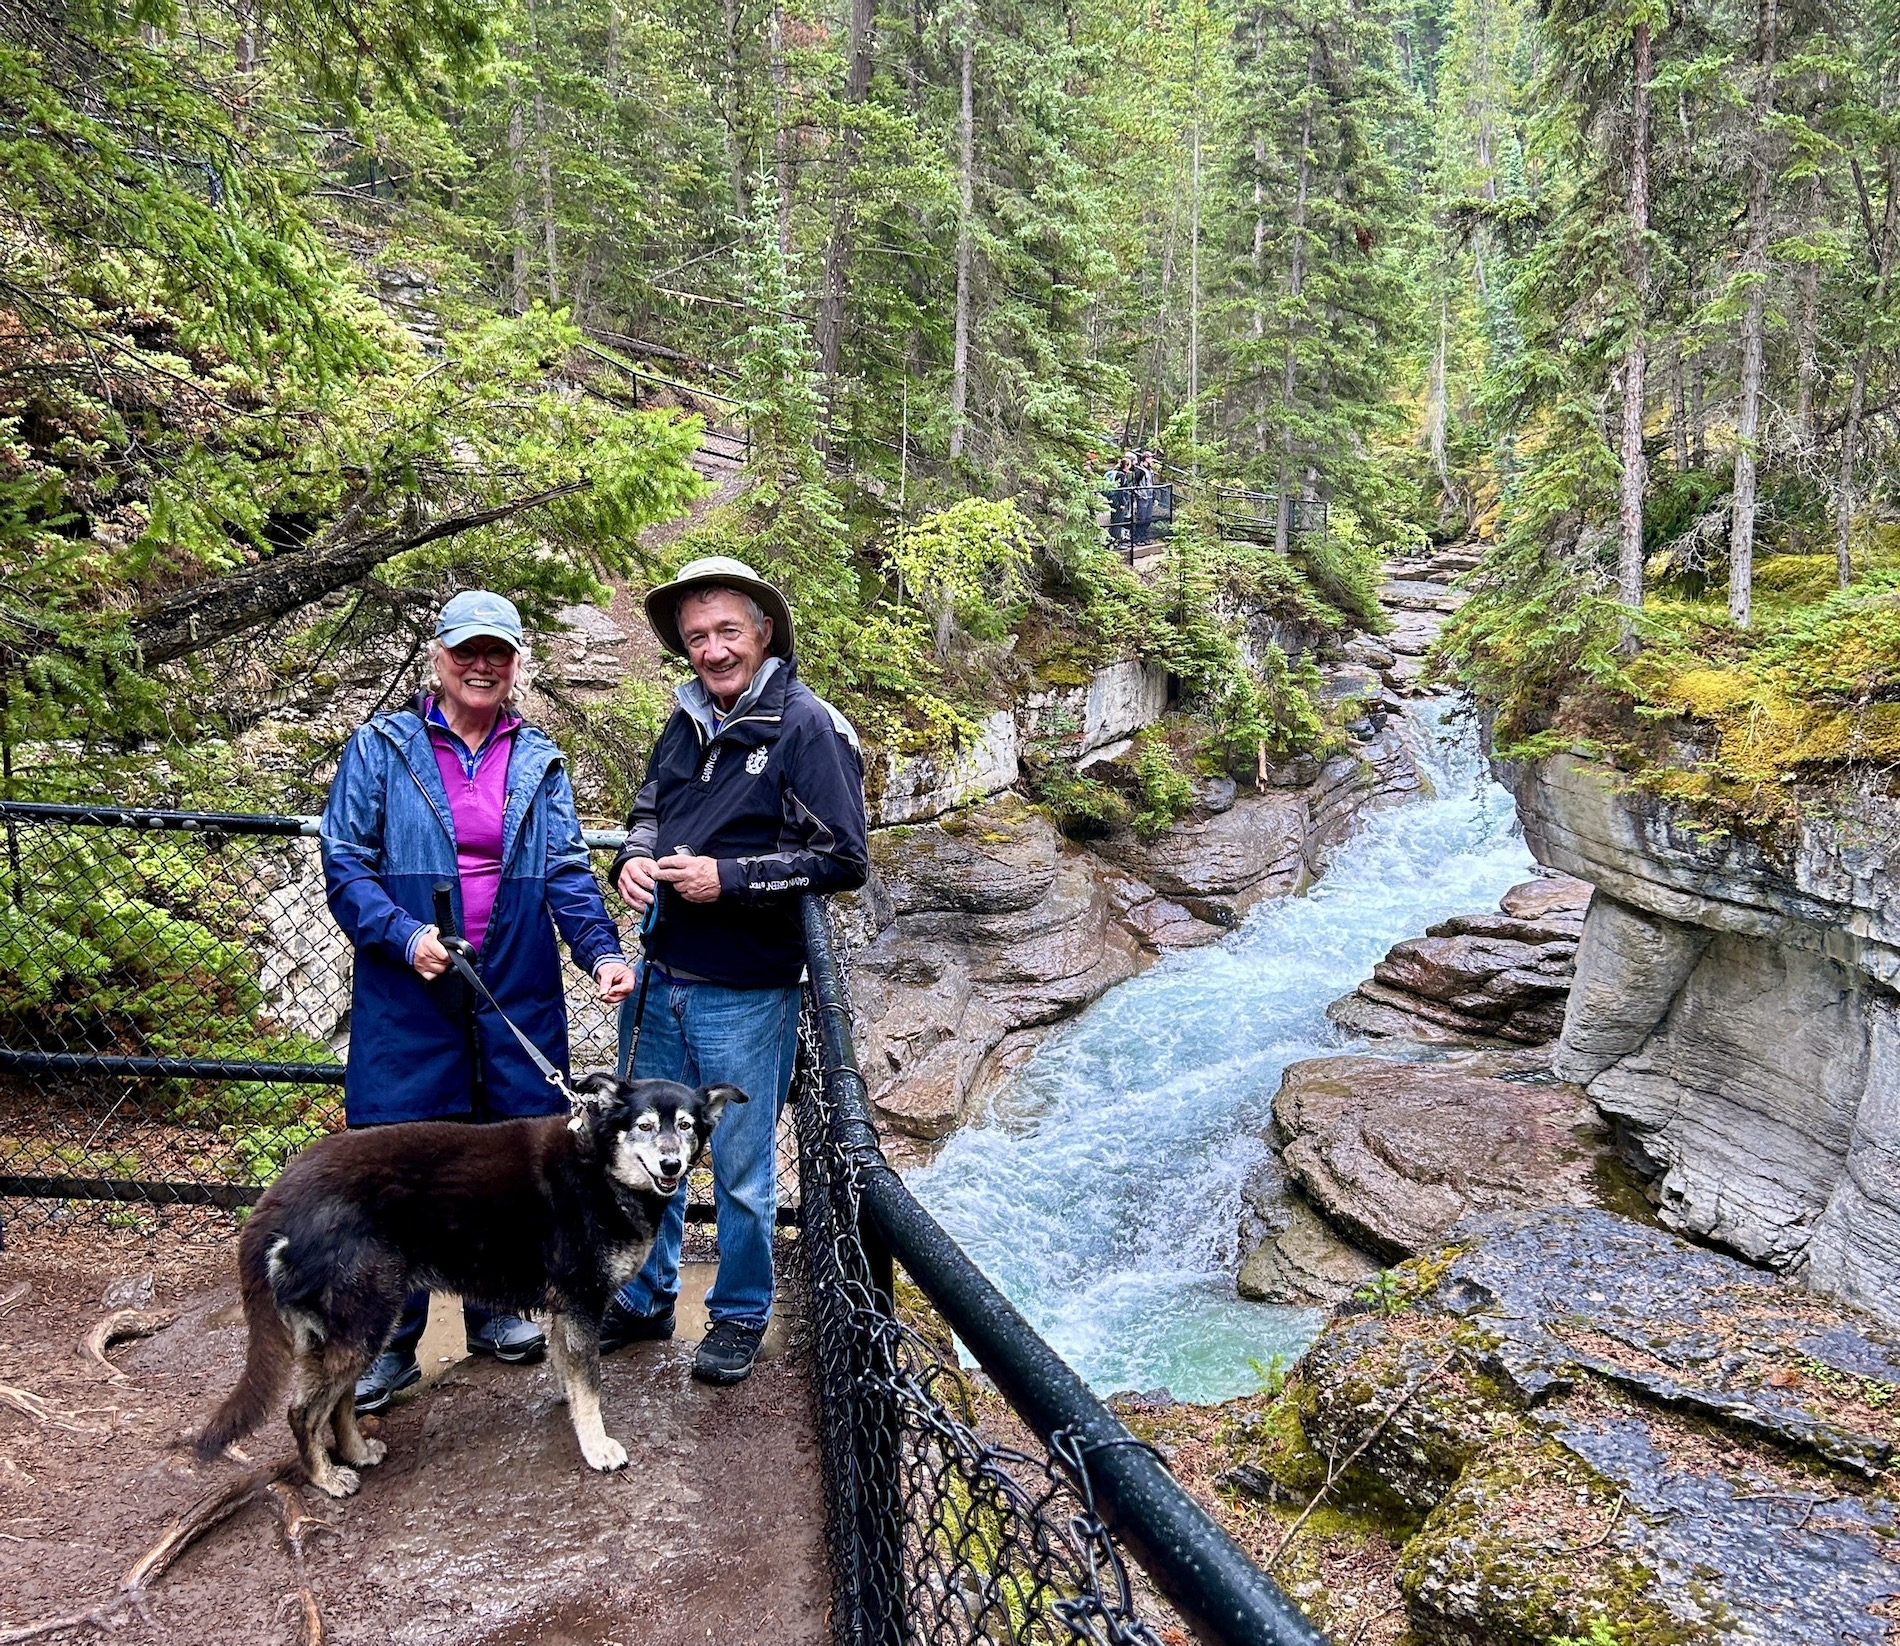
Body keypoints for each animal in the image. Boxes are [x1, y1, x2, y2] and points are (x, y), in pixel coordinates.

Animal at [194, 1071, 741, 1497]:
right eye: (644, 1126)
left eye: (686, 1126)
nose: (671, 1164)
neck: (601, 1168)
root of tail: (277, 1199)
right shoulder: (582, 1303)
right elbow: (589, 1385)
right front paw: (596, 1445)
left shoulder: (566, 1311)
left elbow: (568, 1371)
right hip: (367, 1318)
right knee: (303, 1410)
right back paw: (325, 1478)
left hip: (354, 1325)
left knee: (340, 1399)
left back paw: (355, 1452)